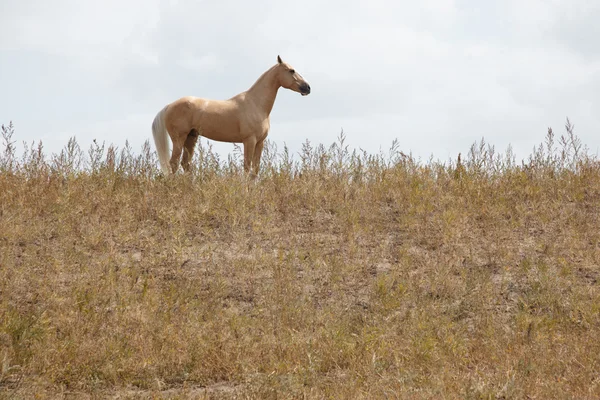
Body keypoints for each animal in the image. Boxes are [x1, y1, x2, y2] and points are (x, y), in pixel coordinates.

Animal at [150, 54, 312, 175]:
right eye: (291, 70)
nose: (307, 88)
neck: (256, 103)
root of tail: (169, 106)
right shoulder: (250, 141)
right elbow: (247, 167)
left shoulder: (260, 142)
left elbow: (255, 170)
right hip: (179, 139)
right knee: (174, 164)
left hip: (191, 137)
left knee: (185, 164)